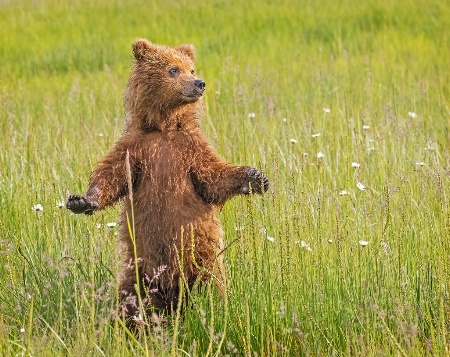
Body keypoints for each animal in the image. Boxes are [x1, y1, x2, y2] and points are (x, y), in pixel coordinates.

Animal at [67, 38, 268, 326]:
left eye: (192, 69)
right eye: (173, 69)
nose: (199, 83)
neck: (164, 127)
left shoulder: (189, 149)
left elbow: (212, 177)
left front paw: (255, 177)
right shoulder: (137, 148)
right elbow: (111, 174)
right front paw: (81, 200)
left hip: (203, 258)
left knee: (212, 287)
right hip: (140, 267)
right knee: (131, 296)